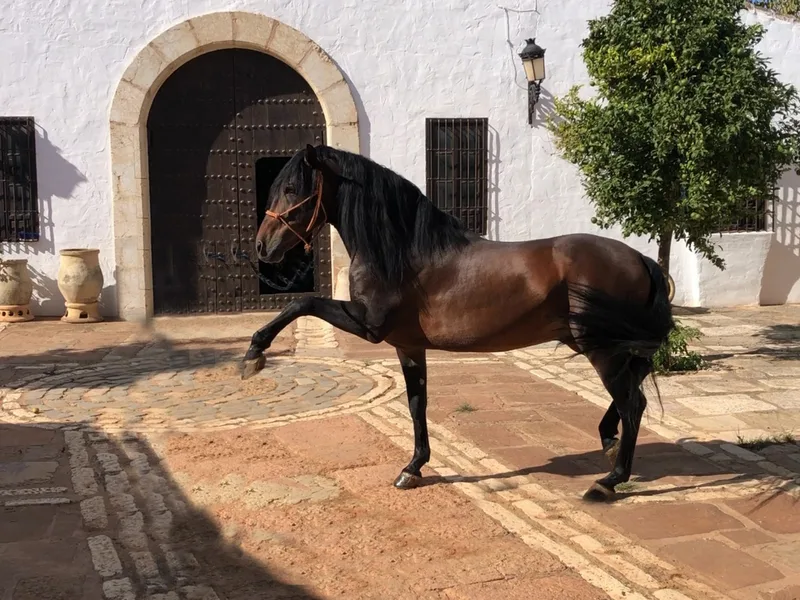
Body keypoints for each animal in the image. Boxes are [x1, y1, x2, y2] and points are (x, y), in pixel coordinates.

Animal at [240, 143, 674, 502]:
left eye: (292, 188)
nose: (262, 246)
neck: (402, 251)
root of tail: (640, 259)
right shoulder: (407, 345)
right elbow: (417, 404)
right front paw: (413, 468)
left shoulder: (369, 325)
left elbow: (303, 301)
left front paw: (253, 354)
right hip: (602, 345)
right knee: (634, 392)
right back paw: (608, 441)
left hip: (601, 350)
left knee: (633, 403)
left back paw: (609, 481)